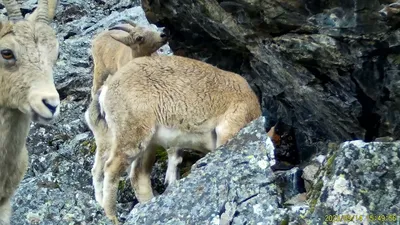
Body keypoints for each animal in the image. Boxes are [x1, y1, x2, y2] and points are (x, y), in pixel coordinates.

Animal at [94, 55, 262, 223]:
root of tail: (106, 90)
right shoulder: (230, 127)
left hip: (147, 143)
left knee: (137, 175)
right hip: (132, 132)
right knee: (111, 168)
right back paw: (112, 216)